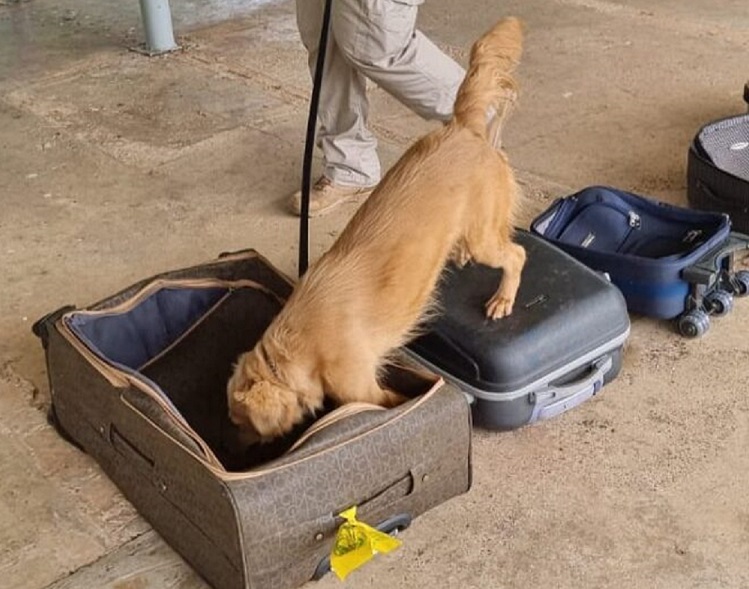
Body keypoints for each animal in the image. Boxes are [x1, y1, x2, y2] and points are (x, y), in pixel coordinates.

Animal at [228, 16, 524, 438]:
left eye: (244, 424)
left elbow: (388, 399)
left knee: (517, 254)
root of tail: (463, 126)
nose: (234, 443)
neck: (298, 342)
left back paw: (503, 298)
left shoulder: (367, 388)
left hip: (487, 237)